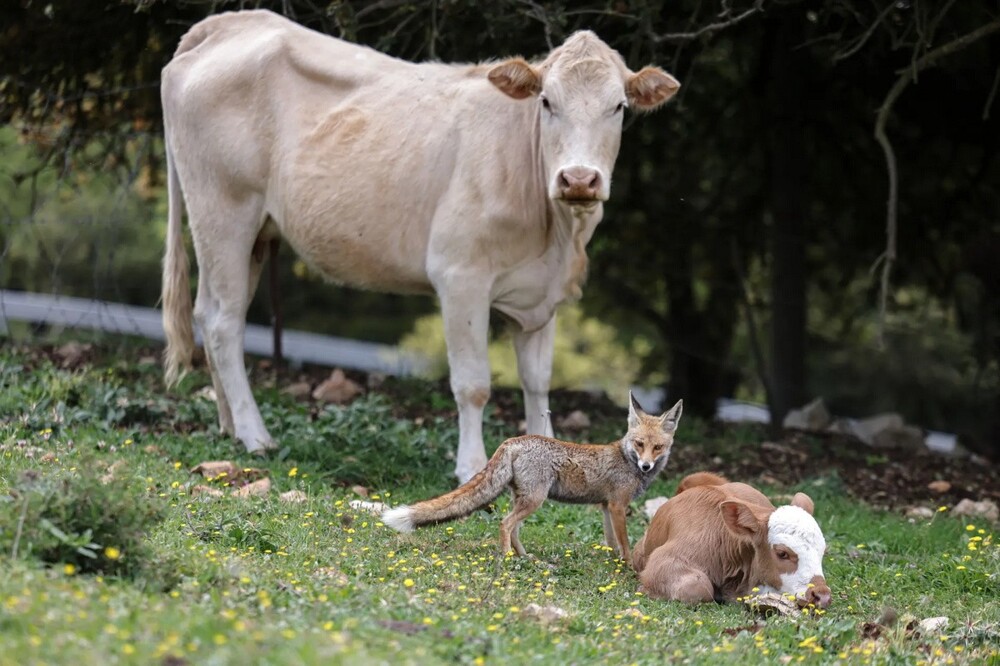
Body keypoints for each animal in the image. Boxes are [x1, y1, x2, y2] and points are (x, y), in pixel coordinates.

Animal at [162, 9, 680, 478]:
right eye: (547, 102)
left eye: (618, 107)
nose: (578, 178)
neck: (555, 235)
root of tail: (228, 23)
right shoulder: (460, 275)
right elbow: (473, 383)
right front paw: (470, 465)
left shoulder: (541, 294)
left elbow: (538, 383)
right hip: (225, 211)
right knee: (225, 323)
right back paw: (255, 434)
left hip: (251, 233)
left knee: (208, 312)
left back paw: (229, 426)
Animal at [380, 394, 680, 560]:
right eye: (639, 444)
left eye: (657, 447)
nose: (646, 466)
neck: (625, 458)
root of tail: (513, 440)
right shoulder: (618, 506)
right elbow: (625, 544)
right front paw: (627, 567)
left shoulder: (606, 506)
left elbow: (611, 543)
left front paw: (613, 565)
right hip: (535, 500)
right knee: (505, 524)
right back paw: (507, 558)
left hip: (524, 499)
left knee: (514, 529)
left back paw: (524, 557)